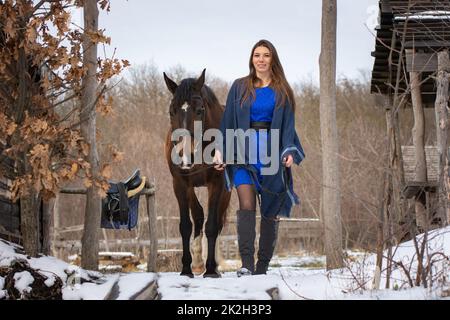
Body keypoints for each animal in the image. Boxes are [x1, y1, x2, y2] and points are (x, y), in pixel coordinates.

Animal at [163, 69, 230, 278]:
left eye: (200, 110)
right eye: (171, 111)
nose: (185, 156)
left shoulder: (217, 183)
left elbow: (212, 225)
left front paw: (211, 270)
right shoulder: (180, 183)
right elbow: (186, 225)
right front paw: (186, 269)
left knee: (217, 221)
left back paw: (211, 264)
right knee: (199, 215)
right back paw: (198, 262)